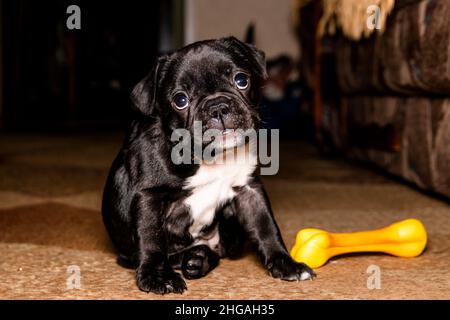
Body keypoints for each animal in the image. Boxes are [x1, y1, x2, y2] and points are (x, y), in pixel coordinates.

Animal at [102, 36, 314, 294]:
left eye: (241, 80)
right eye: (180, 100)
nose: (218, 107)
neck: (211, 156)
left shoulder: (250, 191)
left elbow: (266, 227)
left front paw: (286, 264)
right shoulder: (149, 195)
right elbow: (151, 236)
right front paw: (158, 276)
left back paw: (198, 259)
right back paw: (192, 258)